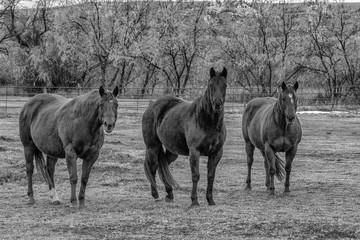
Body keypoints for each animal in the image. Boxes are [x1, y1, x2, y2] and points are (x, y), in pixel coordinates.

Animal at [142, 67, 226, 206]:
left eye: (224, 85)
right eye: (211, 85)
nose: (217, 104)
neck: (207, 122)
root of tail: (151, 107)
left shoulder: (216, 153)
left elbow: (211, 176)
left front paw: (210, 200)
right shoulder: (194, 153)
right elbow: (196, 176)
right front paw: (194, 201)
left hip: (172, 152)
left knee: (162, 166)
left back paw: (169, 194)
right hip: (152, 147)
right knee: (153, 167)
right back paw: (156, 195)